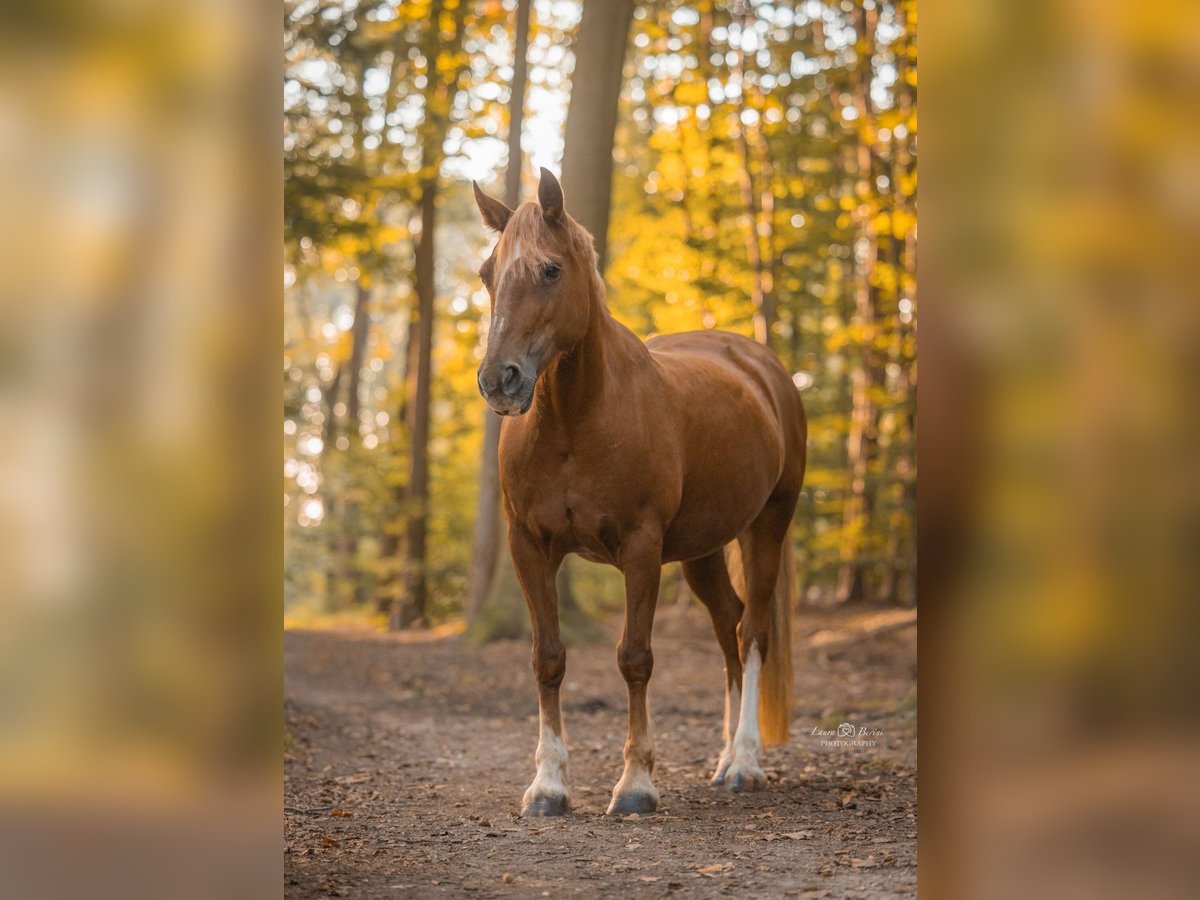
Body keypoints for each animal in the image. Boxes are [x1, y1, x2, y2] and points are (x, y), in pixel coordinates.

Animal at [470, 168, 806, 816]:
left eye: (551, 270)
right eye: (486, 273)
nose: (500, 380)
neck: (575, 421)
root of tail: (762, 366)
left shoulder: (641, 548)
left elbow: (635, 658)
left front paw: (635, 784)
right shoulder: (529, 547)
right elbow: (548, 658)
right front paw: (548, 785)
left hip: (766, 528)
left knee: (752, 632)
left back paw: (745, 764)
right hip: (704, 550)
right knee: (728, 627)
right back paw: (723, 760)